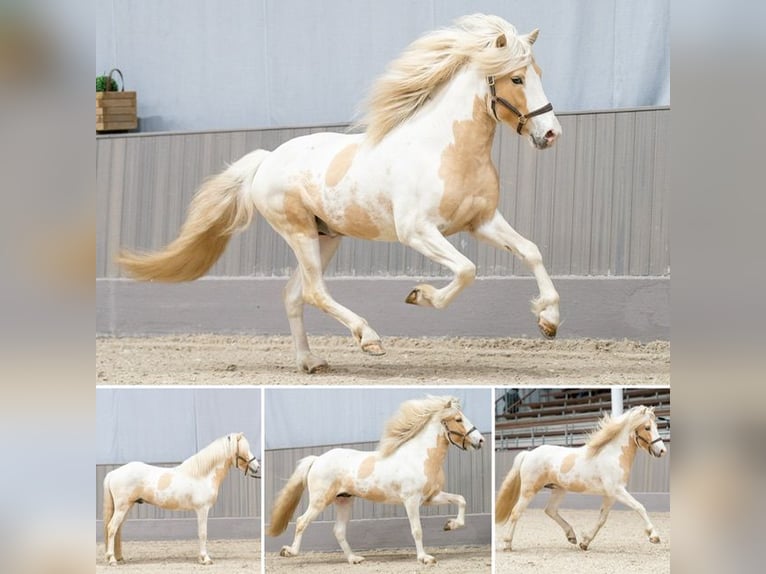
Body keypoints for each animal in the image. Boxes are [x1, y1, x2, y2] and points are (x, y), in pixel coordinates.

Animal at [102, 432, 260, 566]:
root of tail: (113, 473)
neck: (202, 475)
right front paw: (205, 558)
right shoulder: (202, 509)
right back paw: (112, 559)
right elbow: (203, 533)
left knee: (117, 530)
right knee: (112, 528)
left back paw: (119, 558)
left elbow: (200, 533)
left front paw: (201, 558)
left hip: (126, 507)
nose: (257, 467)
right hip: (122, 507)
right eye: (245, 449)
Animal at [117, 13, 562, 373]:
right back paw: (369, 339)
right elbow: (467, 270)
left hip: (325, 237)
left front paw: (549, 320)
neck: (446, 149)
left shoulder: (481, 221)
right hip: (298, 231)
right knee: (314, 291)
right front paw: (419, 296)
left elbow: (531, 251)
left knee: (294, 295)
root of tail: (267, 160)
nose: (551, 134)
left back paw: (311, 362)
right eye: (517, 78)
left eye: (539, 72)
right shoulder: (418, 231)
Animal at [266, 395, 484, 565]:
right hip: (320, 500)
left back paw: (354, 559)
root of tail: (317, 459)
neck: (419, 456)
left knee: (339, 531)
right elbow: (417, 530)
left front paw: (450, 525)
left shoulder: (431, 497)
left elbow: (461, 500)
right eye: (458, 419)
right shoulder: (411, 500)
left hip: (344, 500)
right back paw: (289, 552)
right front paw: (425, 558)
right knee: (302, 521)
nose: (480, 440)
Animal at [495, 405, 667, 551]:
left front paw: (585, 543)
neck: (613, 455)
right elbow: (639, 507)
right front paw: (654, 536)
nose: (662, 450)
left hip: (559, 489)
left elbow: (602, 519)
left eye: (656, 426)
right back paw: (507, 544)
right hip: (529, 490)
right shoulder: (617, 490)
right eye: (647, 427)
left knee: (550, 510)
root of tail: (529, 453)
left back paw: (571, 536)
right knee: (516, 512)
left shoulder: (611, 495)